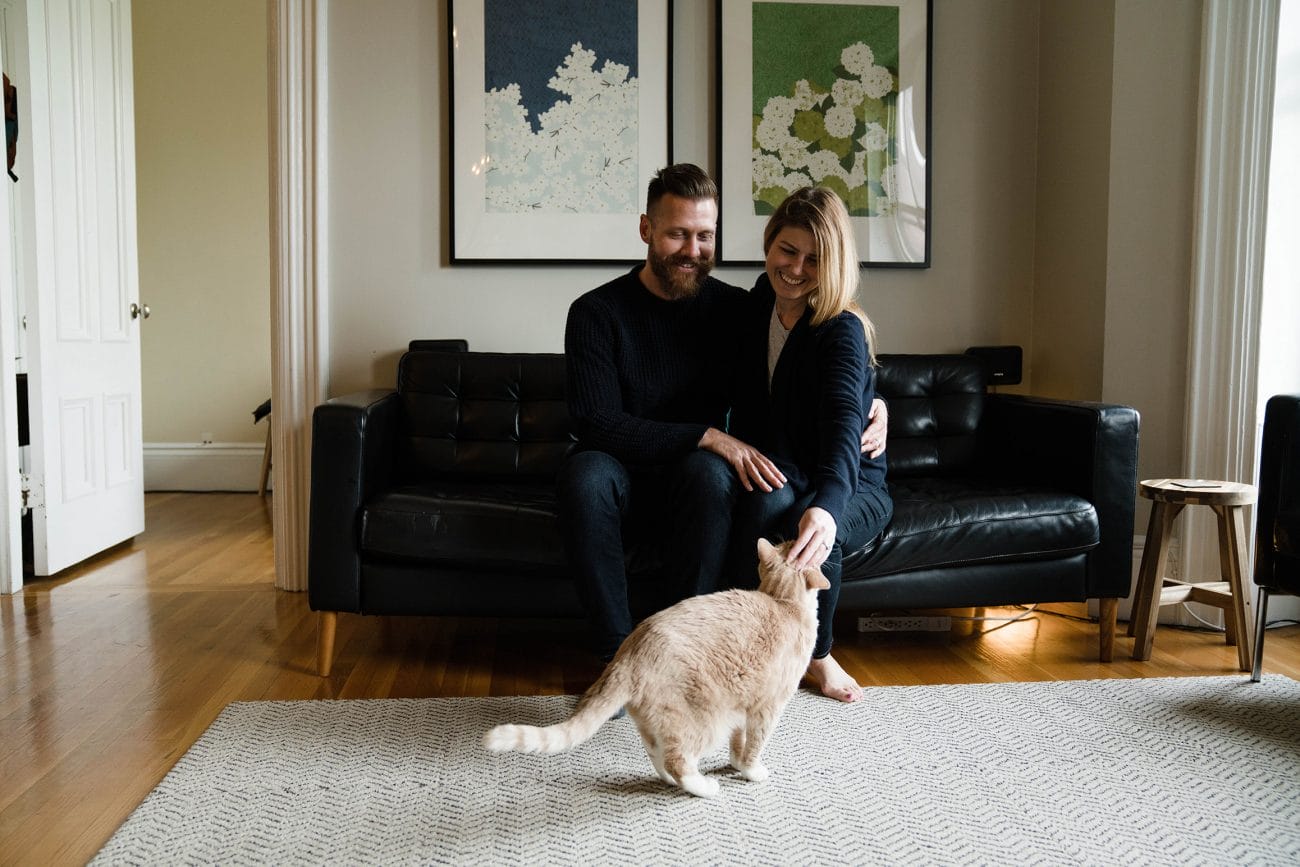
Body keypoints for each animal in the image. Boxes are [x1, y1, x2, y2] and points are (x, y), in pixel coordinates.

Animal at [483, 543, 826, 800]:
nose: (824, 544)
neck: (782, 602)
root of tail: (628, 655)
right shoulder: (766, 708)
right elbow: (755, 745)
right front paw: (751, 771)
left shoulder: (744, 707)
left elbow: (738, 742)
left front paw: (736, 762)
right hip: (706, 721)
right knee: (677, 762)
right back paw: (703, 787)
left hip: (660, 721)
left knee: (658, 755)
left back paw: (675, 781)